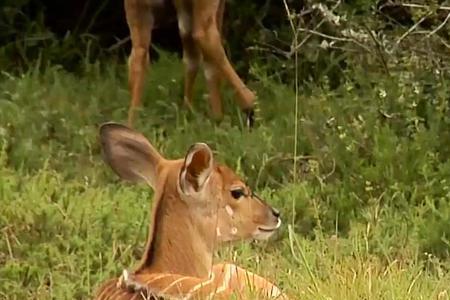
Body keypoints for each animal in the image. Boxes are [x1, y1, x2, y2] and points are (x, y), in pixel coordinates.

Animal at [125, 0, 256, 127]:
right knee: (202, 34)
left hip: (138, 8)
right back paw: (250, 105)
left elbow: (197, 57)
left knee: (138, 54)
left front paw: (211, 117)